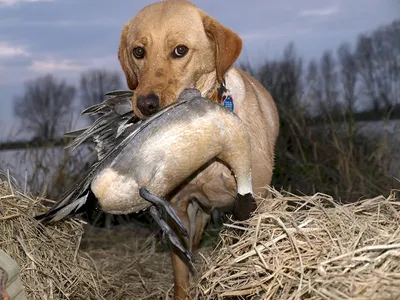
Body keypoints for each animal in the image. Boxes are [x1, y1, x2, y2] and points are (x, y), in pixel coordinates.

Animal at [116, 1, 278, 298]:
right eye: (138, 51)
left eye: (180, 50)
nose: (145, 104)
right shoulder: (178, 208)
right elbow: (181, 270)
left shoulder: (256, 200)